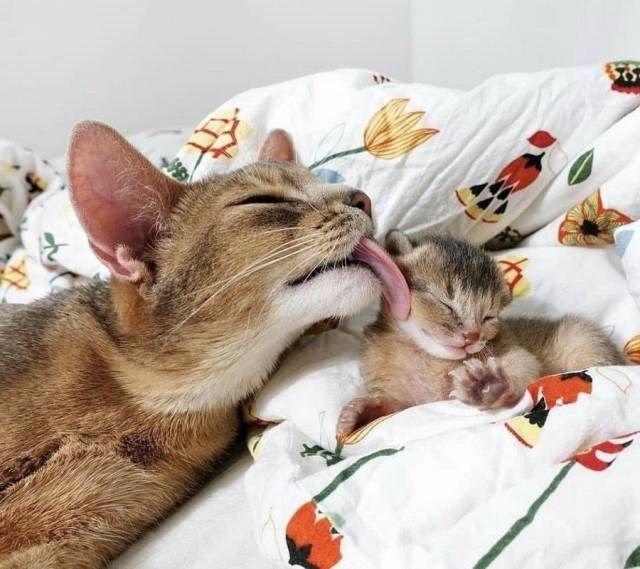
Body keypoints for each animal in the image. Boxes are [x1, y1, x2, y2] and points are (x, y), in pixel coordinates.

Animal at [336, 229, 624, 438]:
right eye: (445, 304)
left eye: (489, 316)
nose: (472, 337)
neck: (427, 356)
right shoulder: (401, 398)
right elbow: (390, 408)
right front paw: (360, 411)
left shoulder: (510, 347)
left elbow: (524, 363)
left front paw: (489, 383)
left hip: (581, 336)